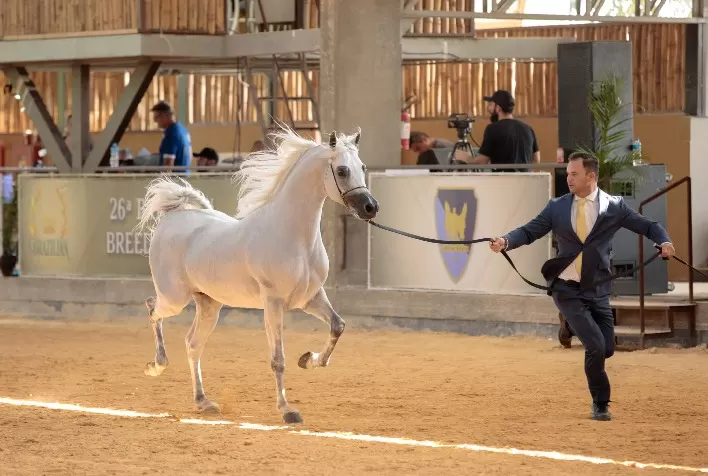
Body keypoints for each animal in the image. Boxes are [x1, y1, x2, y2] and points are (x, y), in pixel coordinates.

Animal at [136, 127, 379, 424]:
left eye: (362, 167)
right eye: (342, 170)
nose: (371, 208)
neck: (293, 236)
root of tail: (173, 219)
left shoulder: (310, 298)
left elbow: (337, 326)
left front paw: (308, 359)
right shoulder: (273, 303)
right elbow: (278, 359)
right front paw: (287, 410)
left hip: (209, 305)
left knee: (192, 344)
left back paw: (203, 402)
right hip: (174, 298)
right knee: (152, 308)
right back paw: (156, 365)